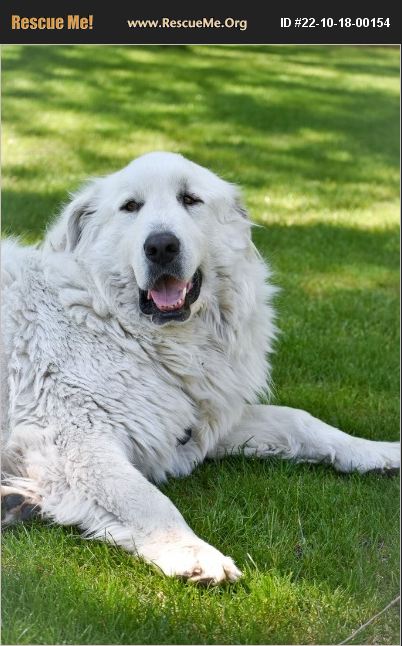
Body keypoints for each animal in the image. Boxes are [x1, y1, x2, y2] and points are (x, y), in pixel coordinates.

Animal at [1, 153, 400, 588]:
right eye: (131, 207)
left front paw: (377, 452)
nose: (161, 245)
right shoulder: (73, 440)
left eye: (189, 199)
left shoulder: (198, 422)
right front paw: (193, 553)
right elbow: (147, 500)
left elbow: (302, 421)